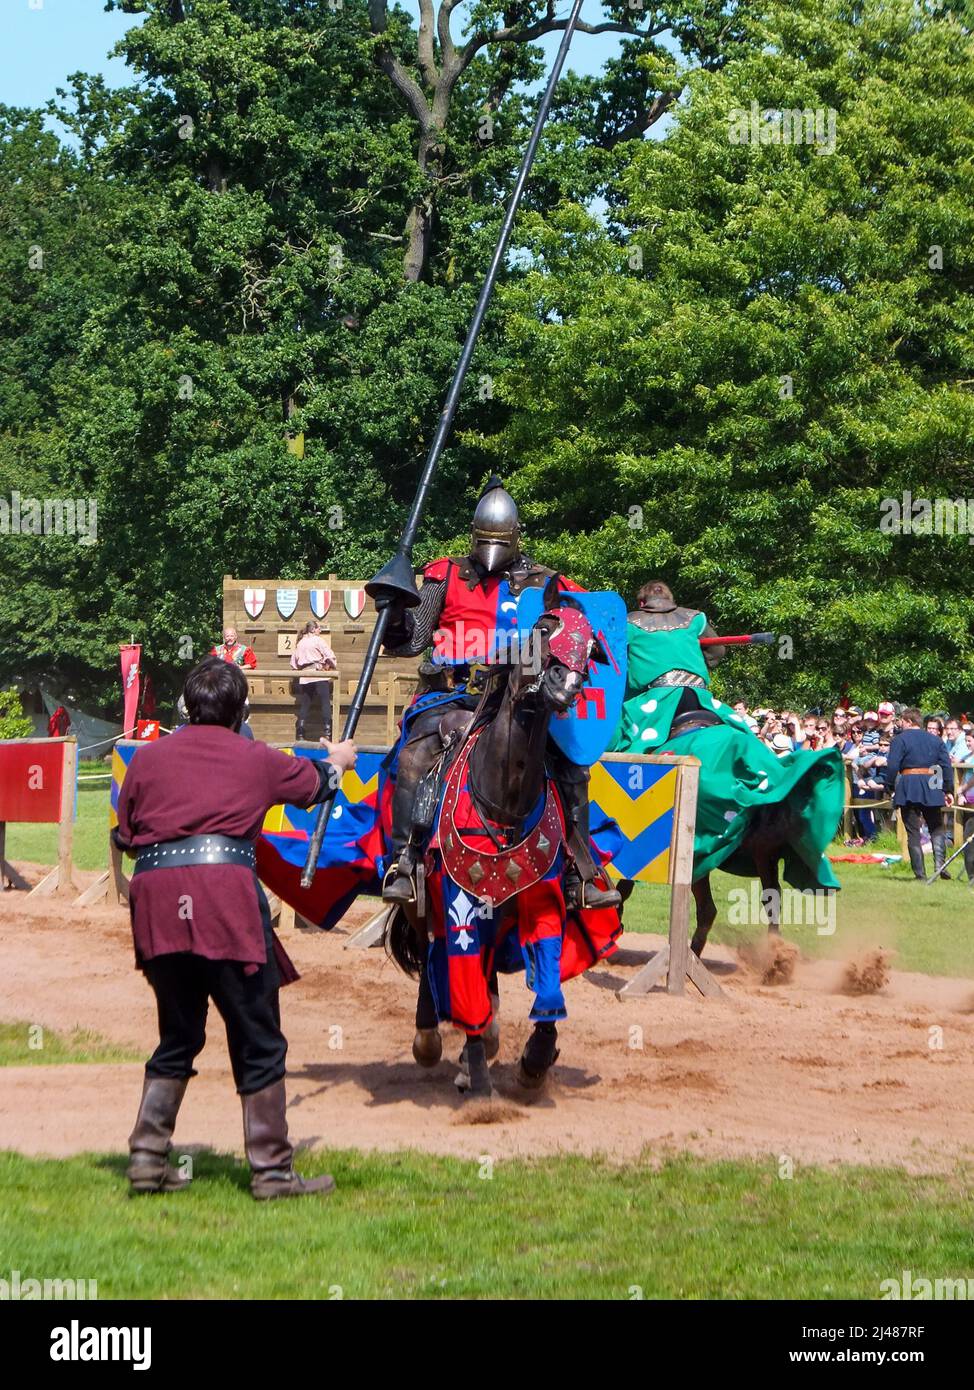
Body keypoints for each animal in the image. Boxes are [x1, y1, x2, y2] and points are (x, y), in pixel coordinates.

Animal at [383, 575, 611, 1095]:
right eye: (545, 628)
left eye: (588, 645)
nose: (565, 686)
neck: (503, 799)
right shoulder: (460, 905)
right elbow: (461, 971)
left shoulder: (541, 902)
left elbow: (548, 975)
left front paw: (536, 1058)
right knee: (430, 952)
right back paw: (433, 1039)